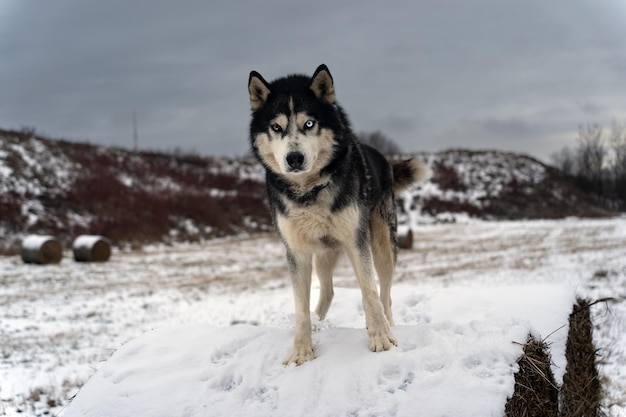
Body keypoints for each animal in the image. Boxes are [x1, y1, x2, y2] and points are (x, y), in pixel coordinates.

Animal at [246, 64, 426, 364]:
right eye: (276, 127)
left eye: (309, 124)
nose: (294, 159)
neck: (309, 192)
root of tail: (385, 161)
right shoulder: (297, 252)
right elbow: (301, 308)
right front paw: (301, 350)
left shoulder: (356, 241)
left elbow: (369, 291)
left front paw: (381, 338)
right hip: (324, 254)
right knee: (328, 291)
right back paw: (319, 323)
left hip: (382, 247)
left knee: (385, 291)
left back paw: (388, 324)